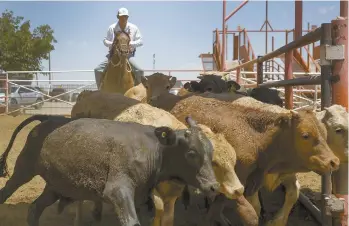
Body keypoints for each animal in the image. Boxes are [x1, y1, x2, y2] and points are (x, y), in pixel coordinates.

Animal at [67, 91, 245, 226]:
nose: (239, 189)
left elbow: (168, 217)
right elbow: (159, 209)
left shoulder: (173, 193)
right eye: (215, 162)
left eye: (233, 160)